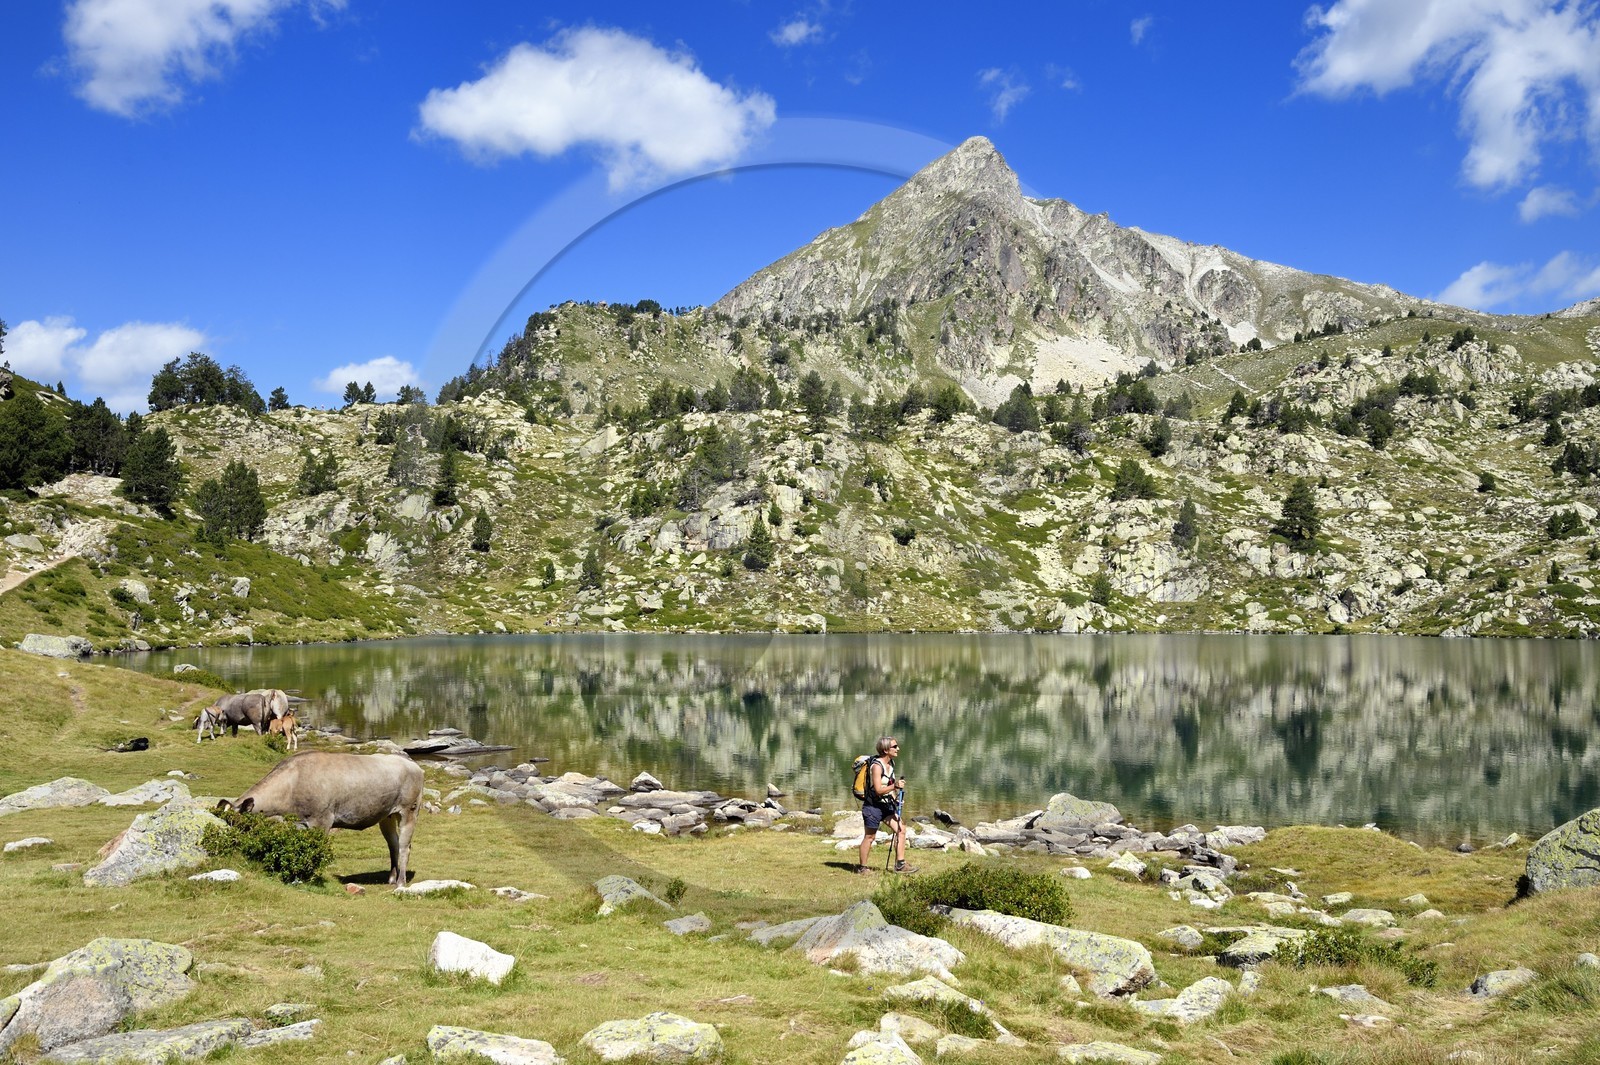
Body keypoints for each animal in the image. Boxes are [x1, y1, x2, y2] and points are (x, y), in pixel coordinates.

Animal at [217, 752, 423, 886]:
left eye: (242, 825)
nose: (232, 851)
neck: (293, 784)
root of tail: (414, 765)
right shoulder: (299, 824)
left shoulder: (322, 820)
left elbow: (318, 850)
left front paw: (313, 876)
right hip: (386, 816)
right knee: (393, 844)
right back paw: (391, 879)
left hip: (409, 811)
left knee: (405, 847)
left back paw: (401, 882)